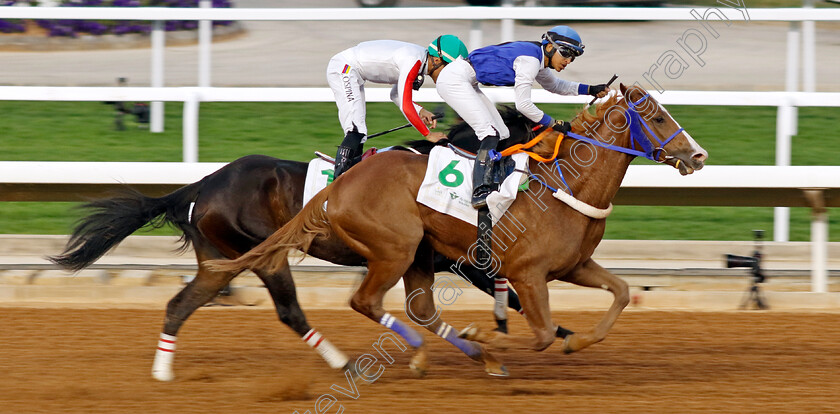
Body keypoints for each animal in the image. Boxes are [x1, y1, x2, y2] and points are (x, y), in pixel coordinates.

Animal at [205, 84, 708, 376]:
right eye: (658, 118)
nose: (699, 155)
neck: (564, 187)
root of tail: (339, 184)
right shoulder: (527, 275)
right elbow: (542, 332)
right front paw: (487, 338)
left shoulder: (574, 266)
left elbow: (620, 293)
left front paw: (578, 341)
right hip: (396, 247)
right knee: (365, 301)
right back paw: (430, 351)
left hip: (418, 253)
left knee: (417, 307)